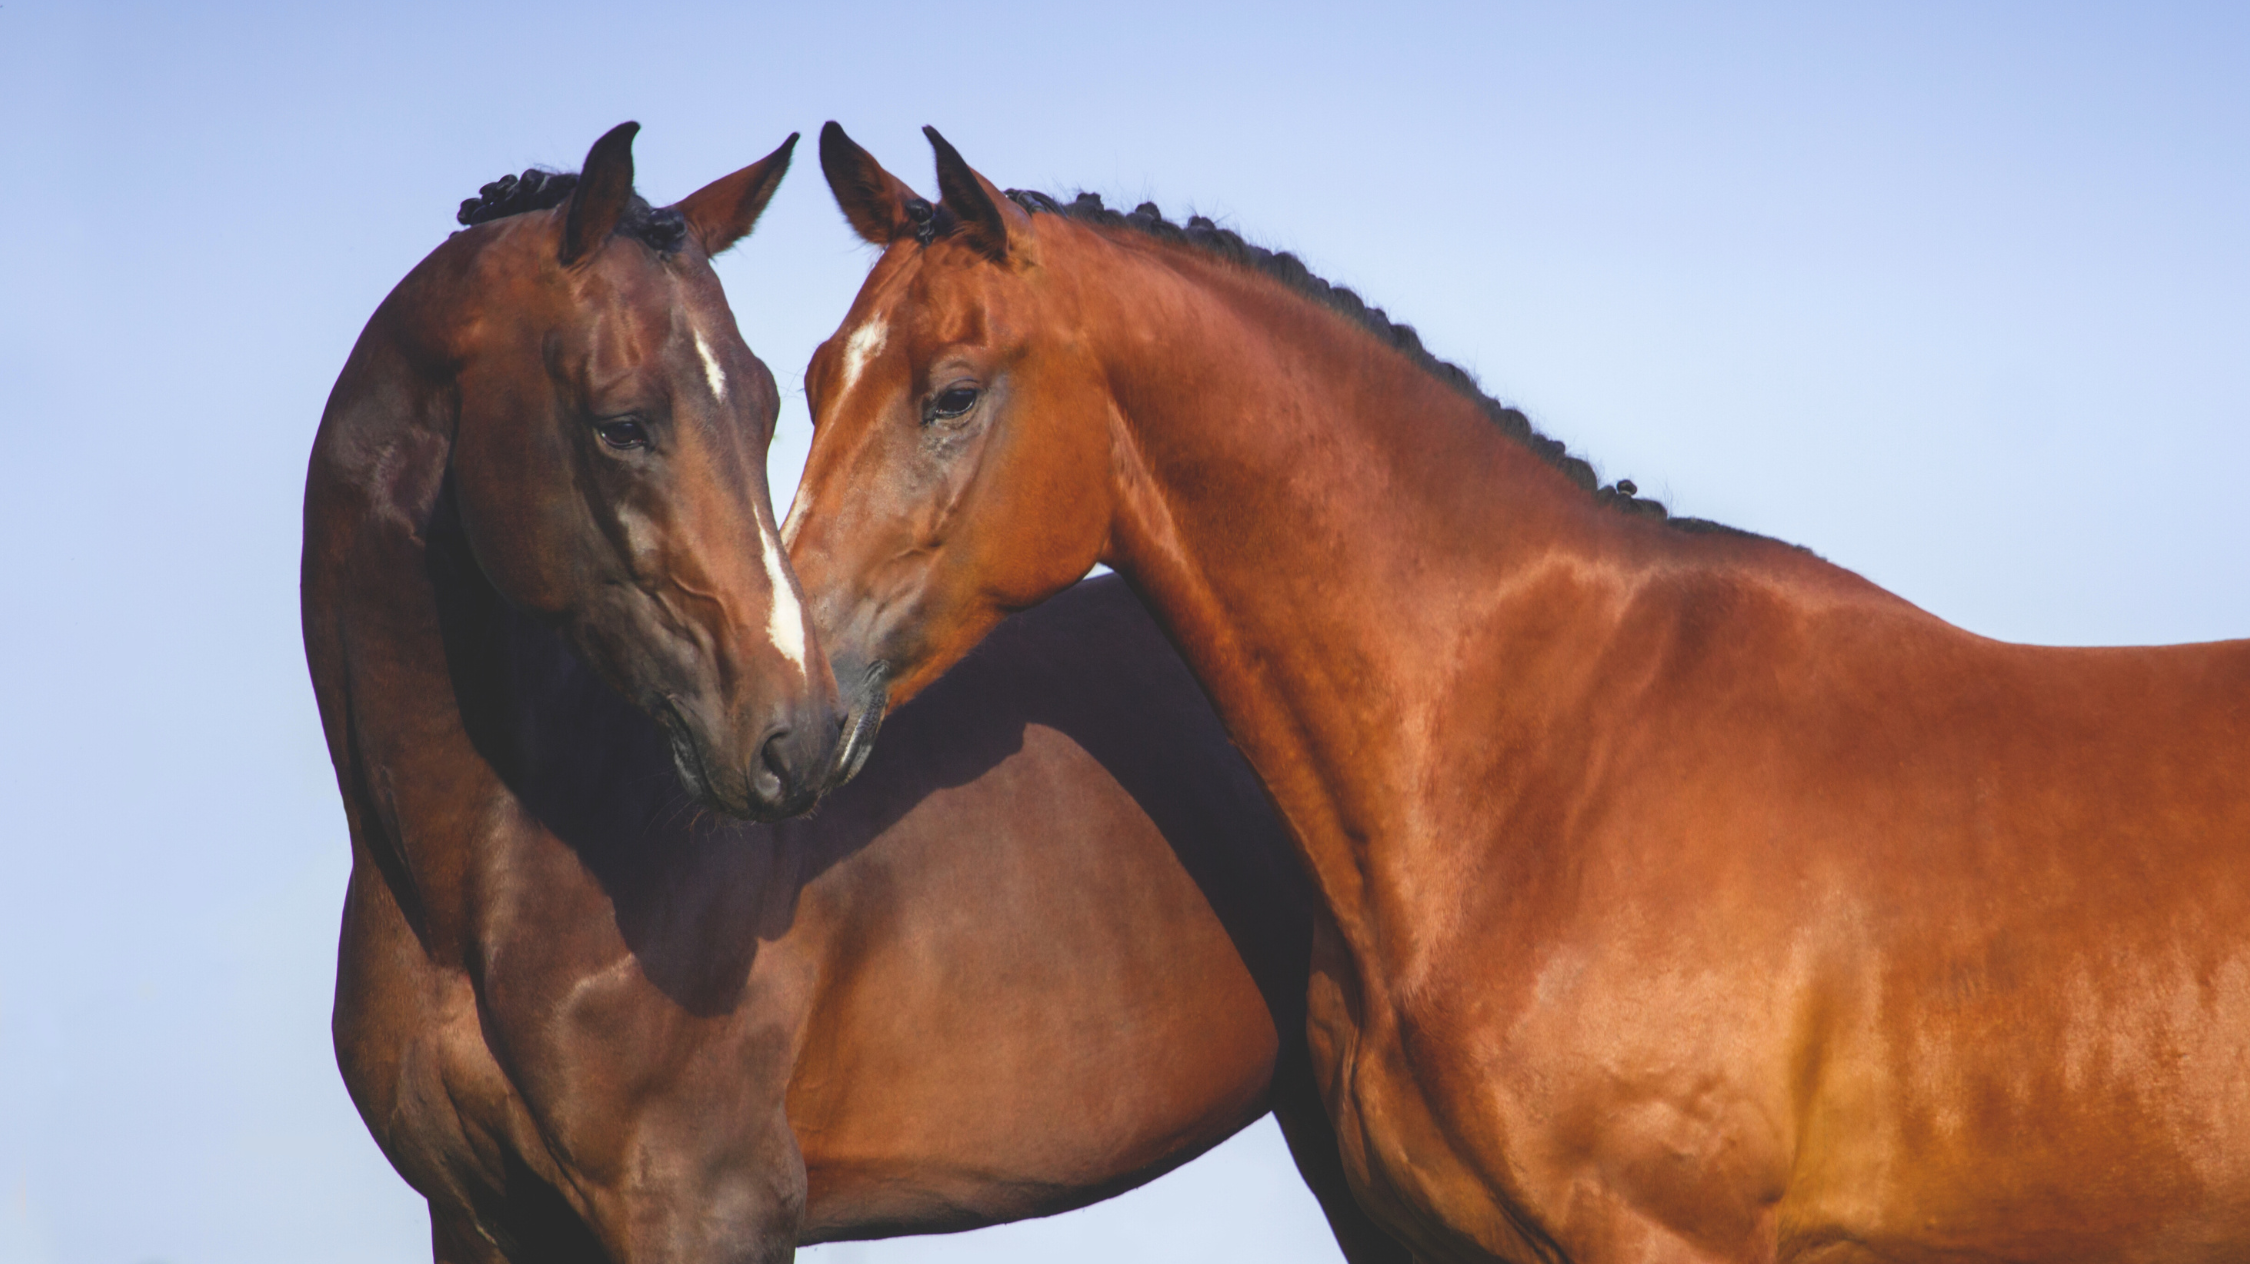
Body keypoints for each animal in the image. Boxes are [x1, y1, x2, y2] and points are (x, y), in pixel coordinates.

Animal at [301, 123, 1407, 1264]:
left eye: (763, 405)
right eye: (620, 422)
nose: (795, 733)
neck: (478, 881)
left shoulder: (706, 1205)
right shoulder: (479, 1218)